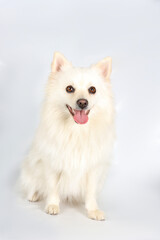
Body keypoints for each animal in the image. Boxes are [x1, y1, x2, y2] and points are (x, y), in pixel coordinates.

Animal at [20, 51, 115, 220]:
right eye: (69, 89)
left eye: (92, 90)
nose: (83, 102)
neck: (76, 130)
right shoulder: (52, 164)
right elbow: (52, 187)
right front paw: (52, 206)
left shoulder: (93, 168)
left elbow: (90, 192)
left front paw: (93, 210)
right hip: (30, 169)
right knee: (33, 184)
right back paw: (34, 195)